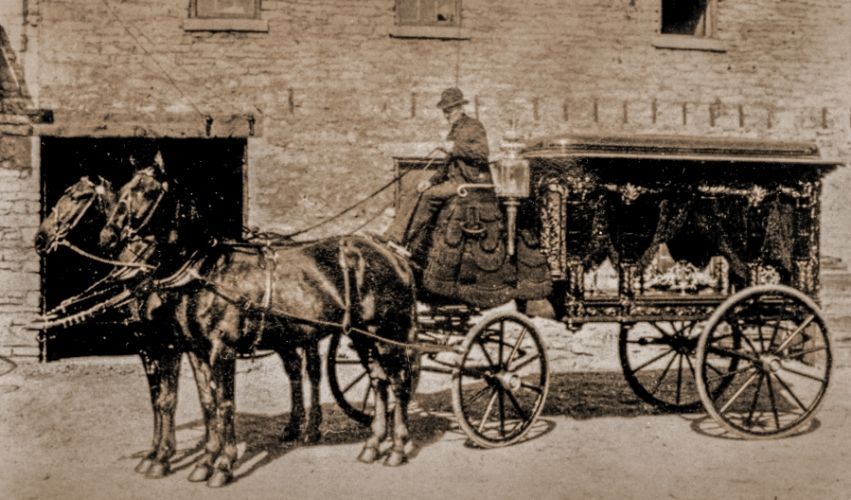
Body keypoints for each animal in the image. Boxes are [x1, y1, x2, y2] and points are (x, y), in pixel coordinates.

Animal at [98, 154, 418, 486]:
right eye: (123, 190)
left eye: (147, 191)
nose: (108, 236)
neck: (206, 270)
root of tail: (395, 255)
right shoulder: (195, 350)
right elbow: (206, 403)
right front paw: (204, 461)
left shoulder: (216, 350)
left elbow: (222, 404)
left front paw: (222, 464)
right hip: (362, 335)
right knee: (378, 382)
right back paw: (372, 445)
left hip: (386, 333)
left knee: (399, 383)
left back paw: (396, 448)